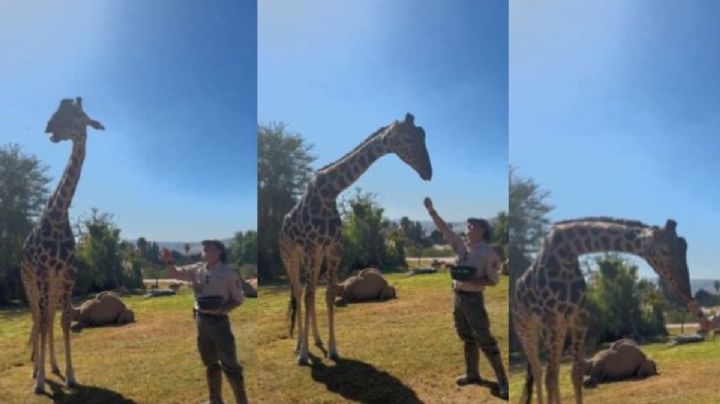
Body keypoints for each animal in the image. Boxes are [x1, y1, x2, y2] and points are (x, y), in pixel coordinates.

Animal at [21, 97, 104, 394]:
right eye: (58, 112)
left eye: (78, 116)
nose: (49, 128)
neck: (57, 216)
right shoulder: (42, 273)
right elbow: (44, 321)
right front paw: (40, 382)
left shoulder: (68, 274)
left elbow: (64, 320)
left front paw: (69, 375)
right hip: (30, 283)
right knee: (37, 317)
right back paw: (36, 371)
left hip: (53, 285)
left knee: (47, 319)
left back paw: (52, 367)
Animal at [280, 113, 432, 365]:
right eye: (408, 138)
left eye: (423, 135)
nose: (428, 172)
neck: (329, 193)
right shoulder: (311, 246)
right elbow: (309, 295)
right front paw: (303, 355)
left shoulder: (332, 248)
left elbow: (328, 294)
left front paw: (332, 349)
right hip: (291, 255)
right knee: (299, 292)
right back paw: (300, 345)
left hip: (315, 256)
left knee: (309, 291)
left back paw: (316, 340)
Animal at [513, 217, 708, 404]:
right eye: (665, 250)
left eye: (684, 247)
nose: (686, 291)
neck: (567, 252)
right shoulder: (550, 317)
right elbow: (550, 377)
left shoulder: (579, 317)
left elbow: (575, 374)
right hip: (527, 327)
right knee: (539, 370)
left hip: (559, 327)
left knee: (550, 370)